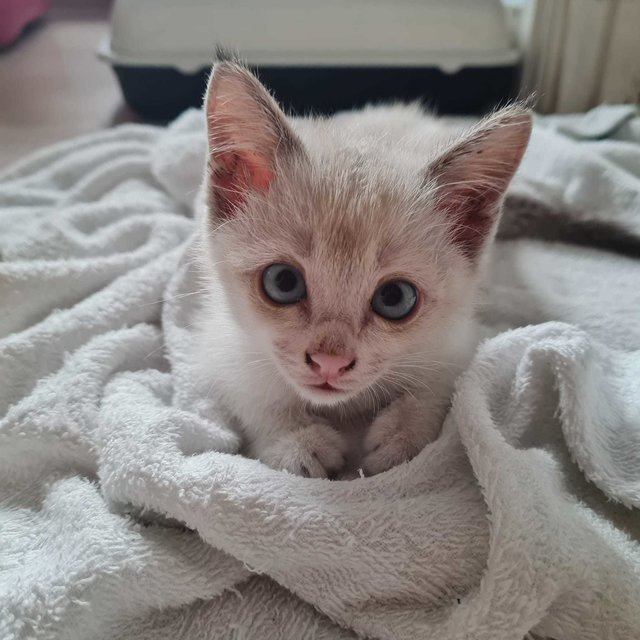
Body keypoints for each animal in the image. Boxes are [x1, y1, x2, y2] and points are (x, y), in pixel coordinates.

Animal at [198, 61, 532, 476]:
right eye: (283, 282)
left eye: (395, 298)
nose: (330, 362)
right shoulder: (219, 344)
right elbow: (252, 391)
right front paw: (295, 442)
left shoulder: (459, 339)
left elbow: (444, 383)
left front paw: (404, 436)